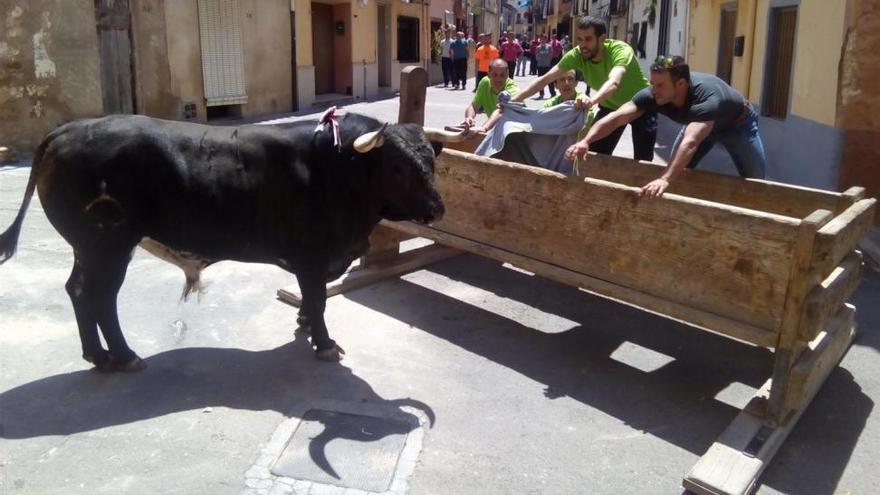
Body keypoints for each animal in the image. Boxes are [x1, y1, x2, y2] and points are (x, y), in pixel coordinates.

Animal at [0, 114, 468, 370]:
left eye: (430, 162)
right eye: (396, 167)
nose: (437, 209)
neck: (337, 165)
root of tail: (67, 130)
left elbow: (311, 300)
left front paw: (304, 326)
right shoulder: (313, 257)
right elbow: (318, 299)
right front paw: (324, 344)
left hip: (88, 248)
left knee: (78, 291)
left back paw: (97, 356)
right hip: (108, 246)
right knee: (98, 296)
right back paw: (123, 356)